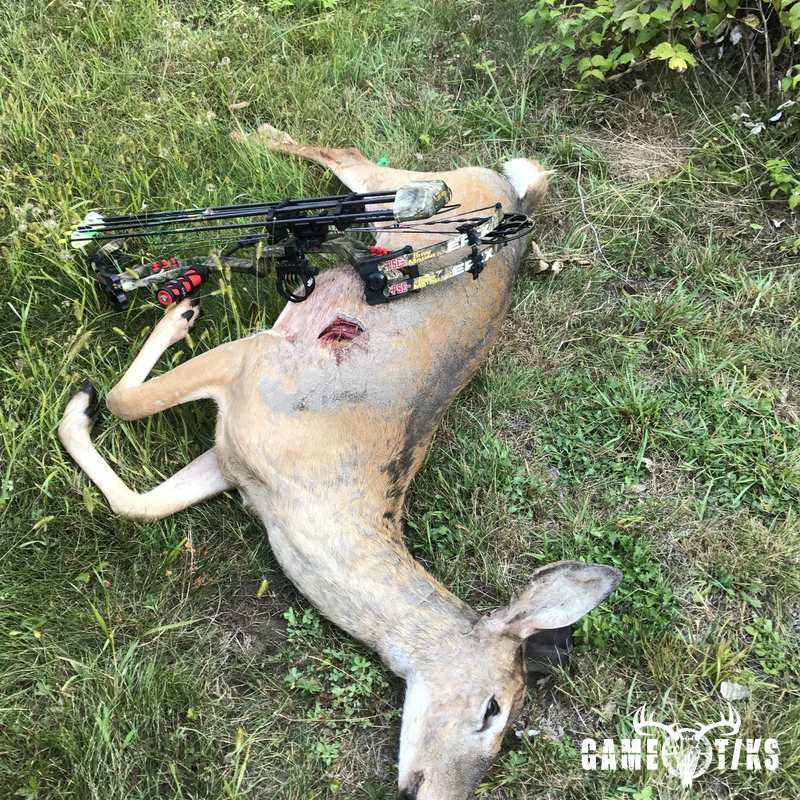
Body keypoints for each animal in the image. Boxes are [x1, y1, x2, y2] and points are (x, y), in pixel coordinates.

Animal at [58, 124, 622, 799]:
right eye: (493, 709)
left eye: (507, 731)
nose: (440, 793)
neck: (312, 506)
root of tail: (512, 200)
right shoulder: (259, 365)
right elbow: (127, 402)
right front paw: (158, 330)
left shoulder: (233, 458)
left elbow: (138, 504)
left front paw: (83, 403)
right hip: (400, 191)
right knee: (350, 158)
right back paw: (254, 141)